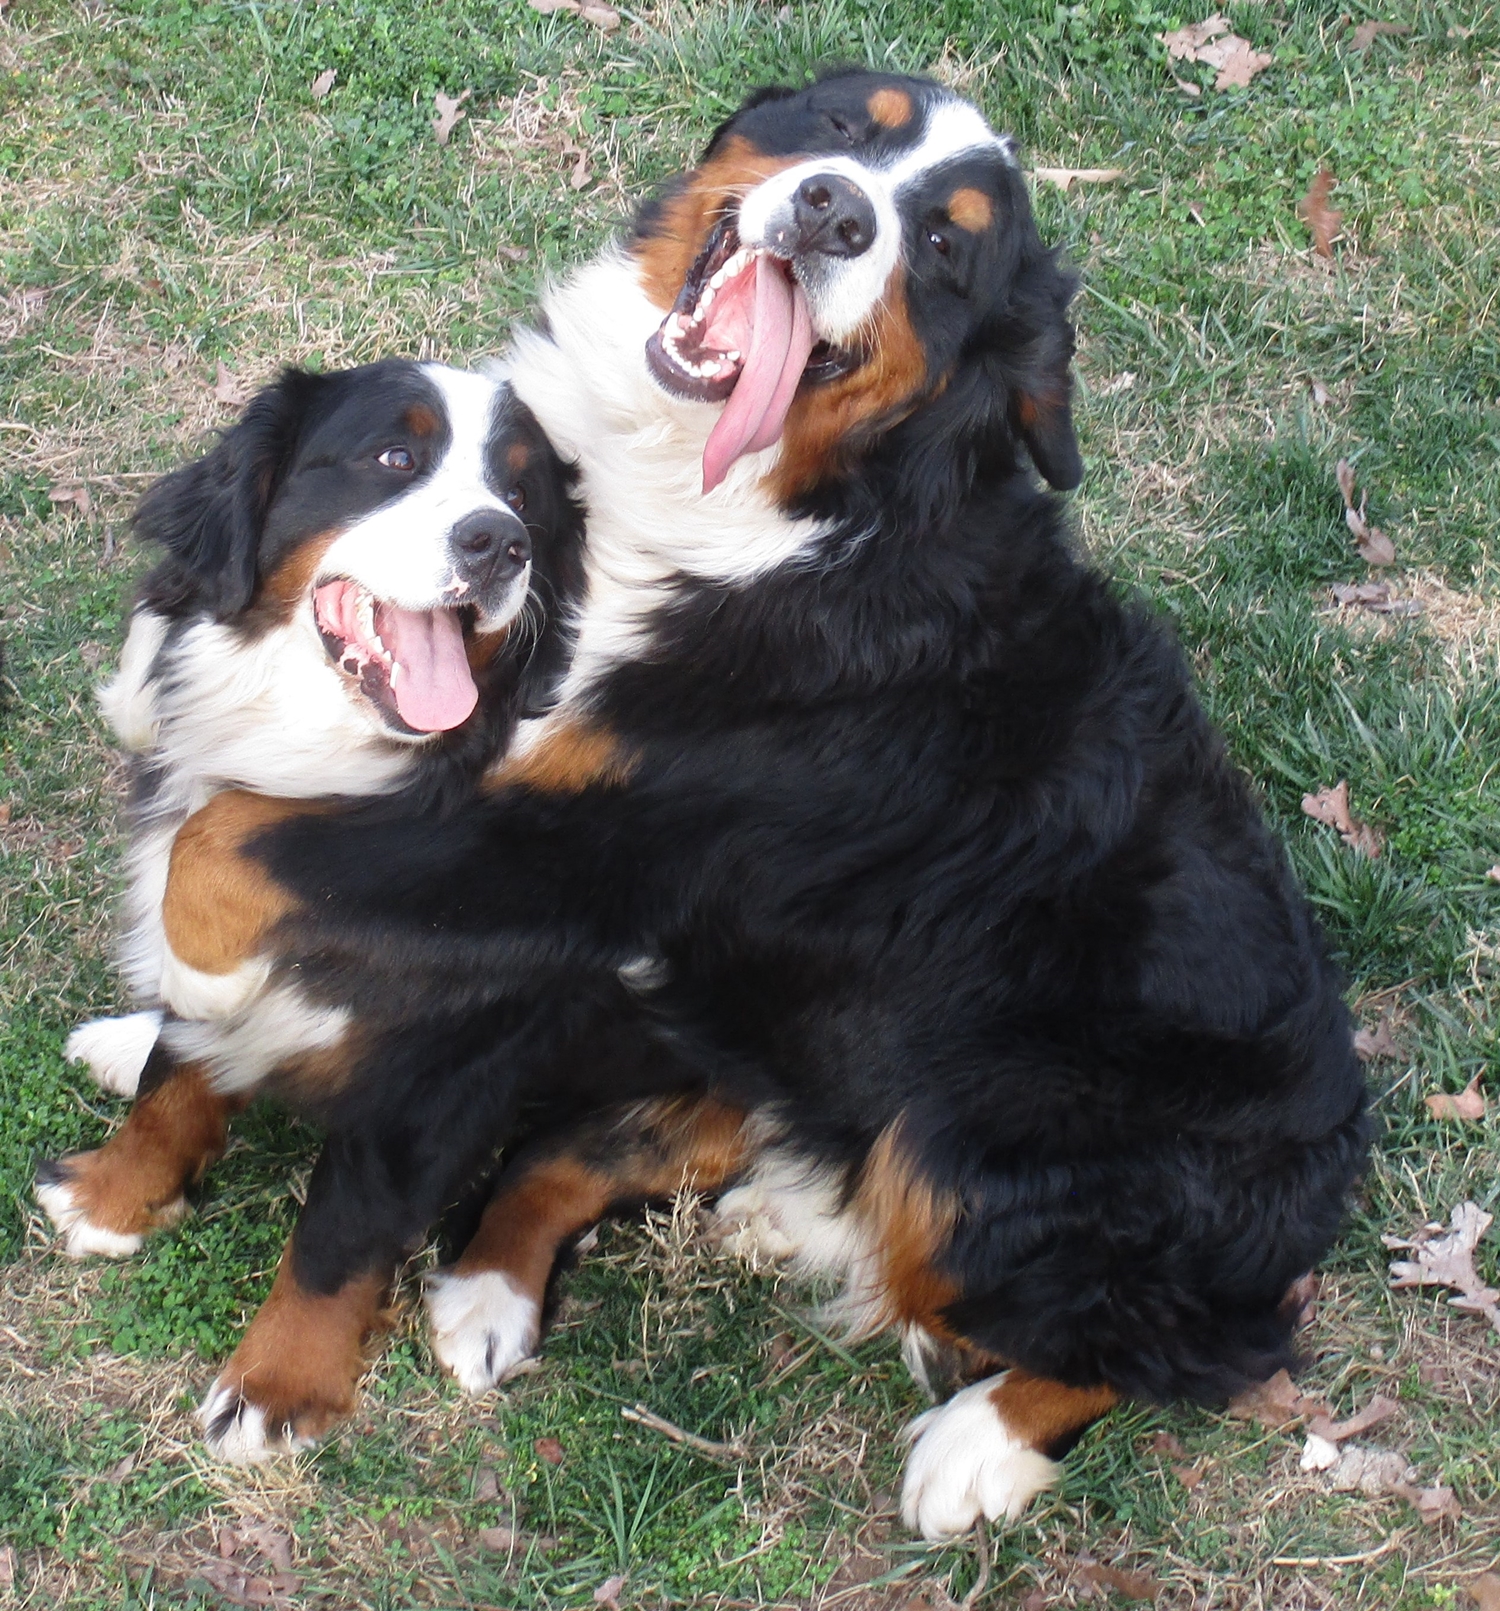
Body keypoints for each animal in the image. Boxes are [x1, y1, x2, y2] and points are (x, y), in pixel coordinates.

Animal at [33, 356, 586, 1269]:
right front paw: (113, 1199)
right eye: (396, 458)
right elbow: (169, 1087)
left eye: (520, 491)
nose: (502, 543)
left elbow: (222, 827)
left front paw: (203, 970)